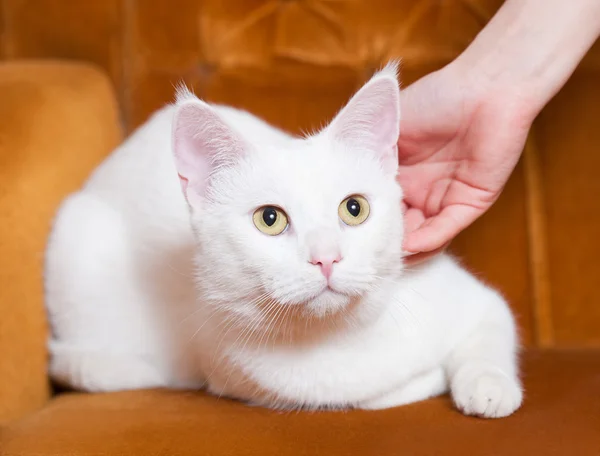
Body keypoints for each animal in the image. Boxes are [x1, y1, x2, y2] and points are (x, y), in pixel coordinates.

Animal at [45, 62, 520, 418]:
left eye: (354, 209)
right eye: (269, 219)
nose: (326, 258)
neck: (339, 337)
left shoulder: (473, 299)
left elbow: (491, 330)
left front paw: (489, 384)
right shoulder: (230, 370)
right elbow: (382, 395)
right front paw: (428, 381)